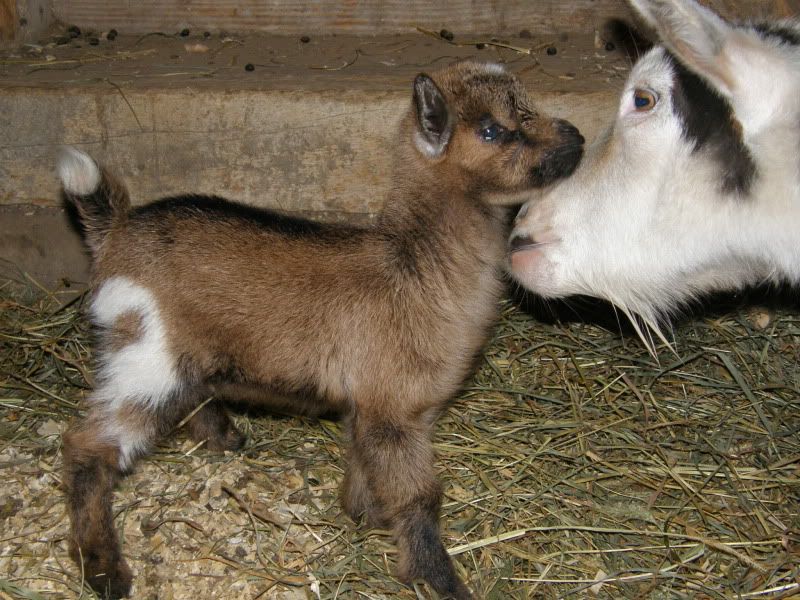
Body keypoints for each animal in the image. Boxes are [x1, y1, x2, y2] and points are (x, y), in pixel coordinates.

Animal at [57, 61, 584, 599]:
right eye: (492, 130)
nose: (577, 138)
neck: (414, 266)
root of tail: (115, 230)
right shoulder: (394, 407)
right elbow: (419, 495)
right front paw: (439, 578)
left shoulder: (382, 405)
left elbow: (364, 461)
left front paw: (363, 515)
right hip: (144, 352)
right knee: (87, 448)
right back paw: (105, 572)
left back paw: (226, 439)